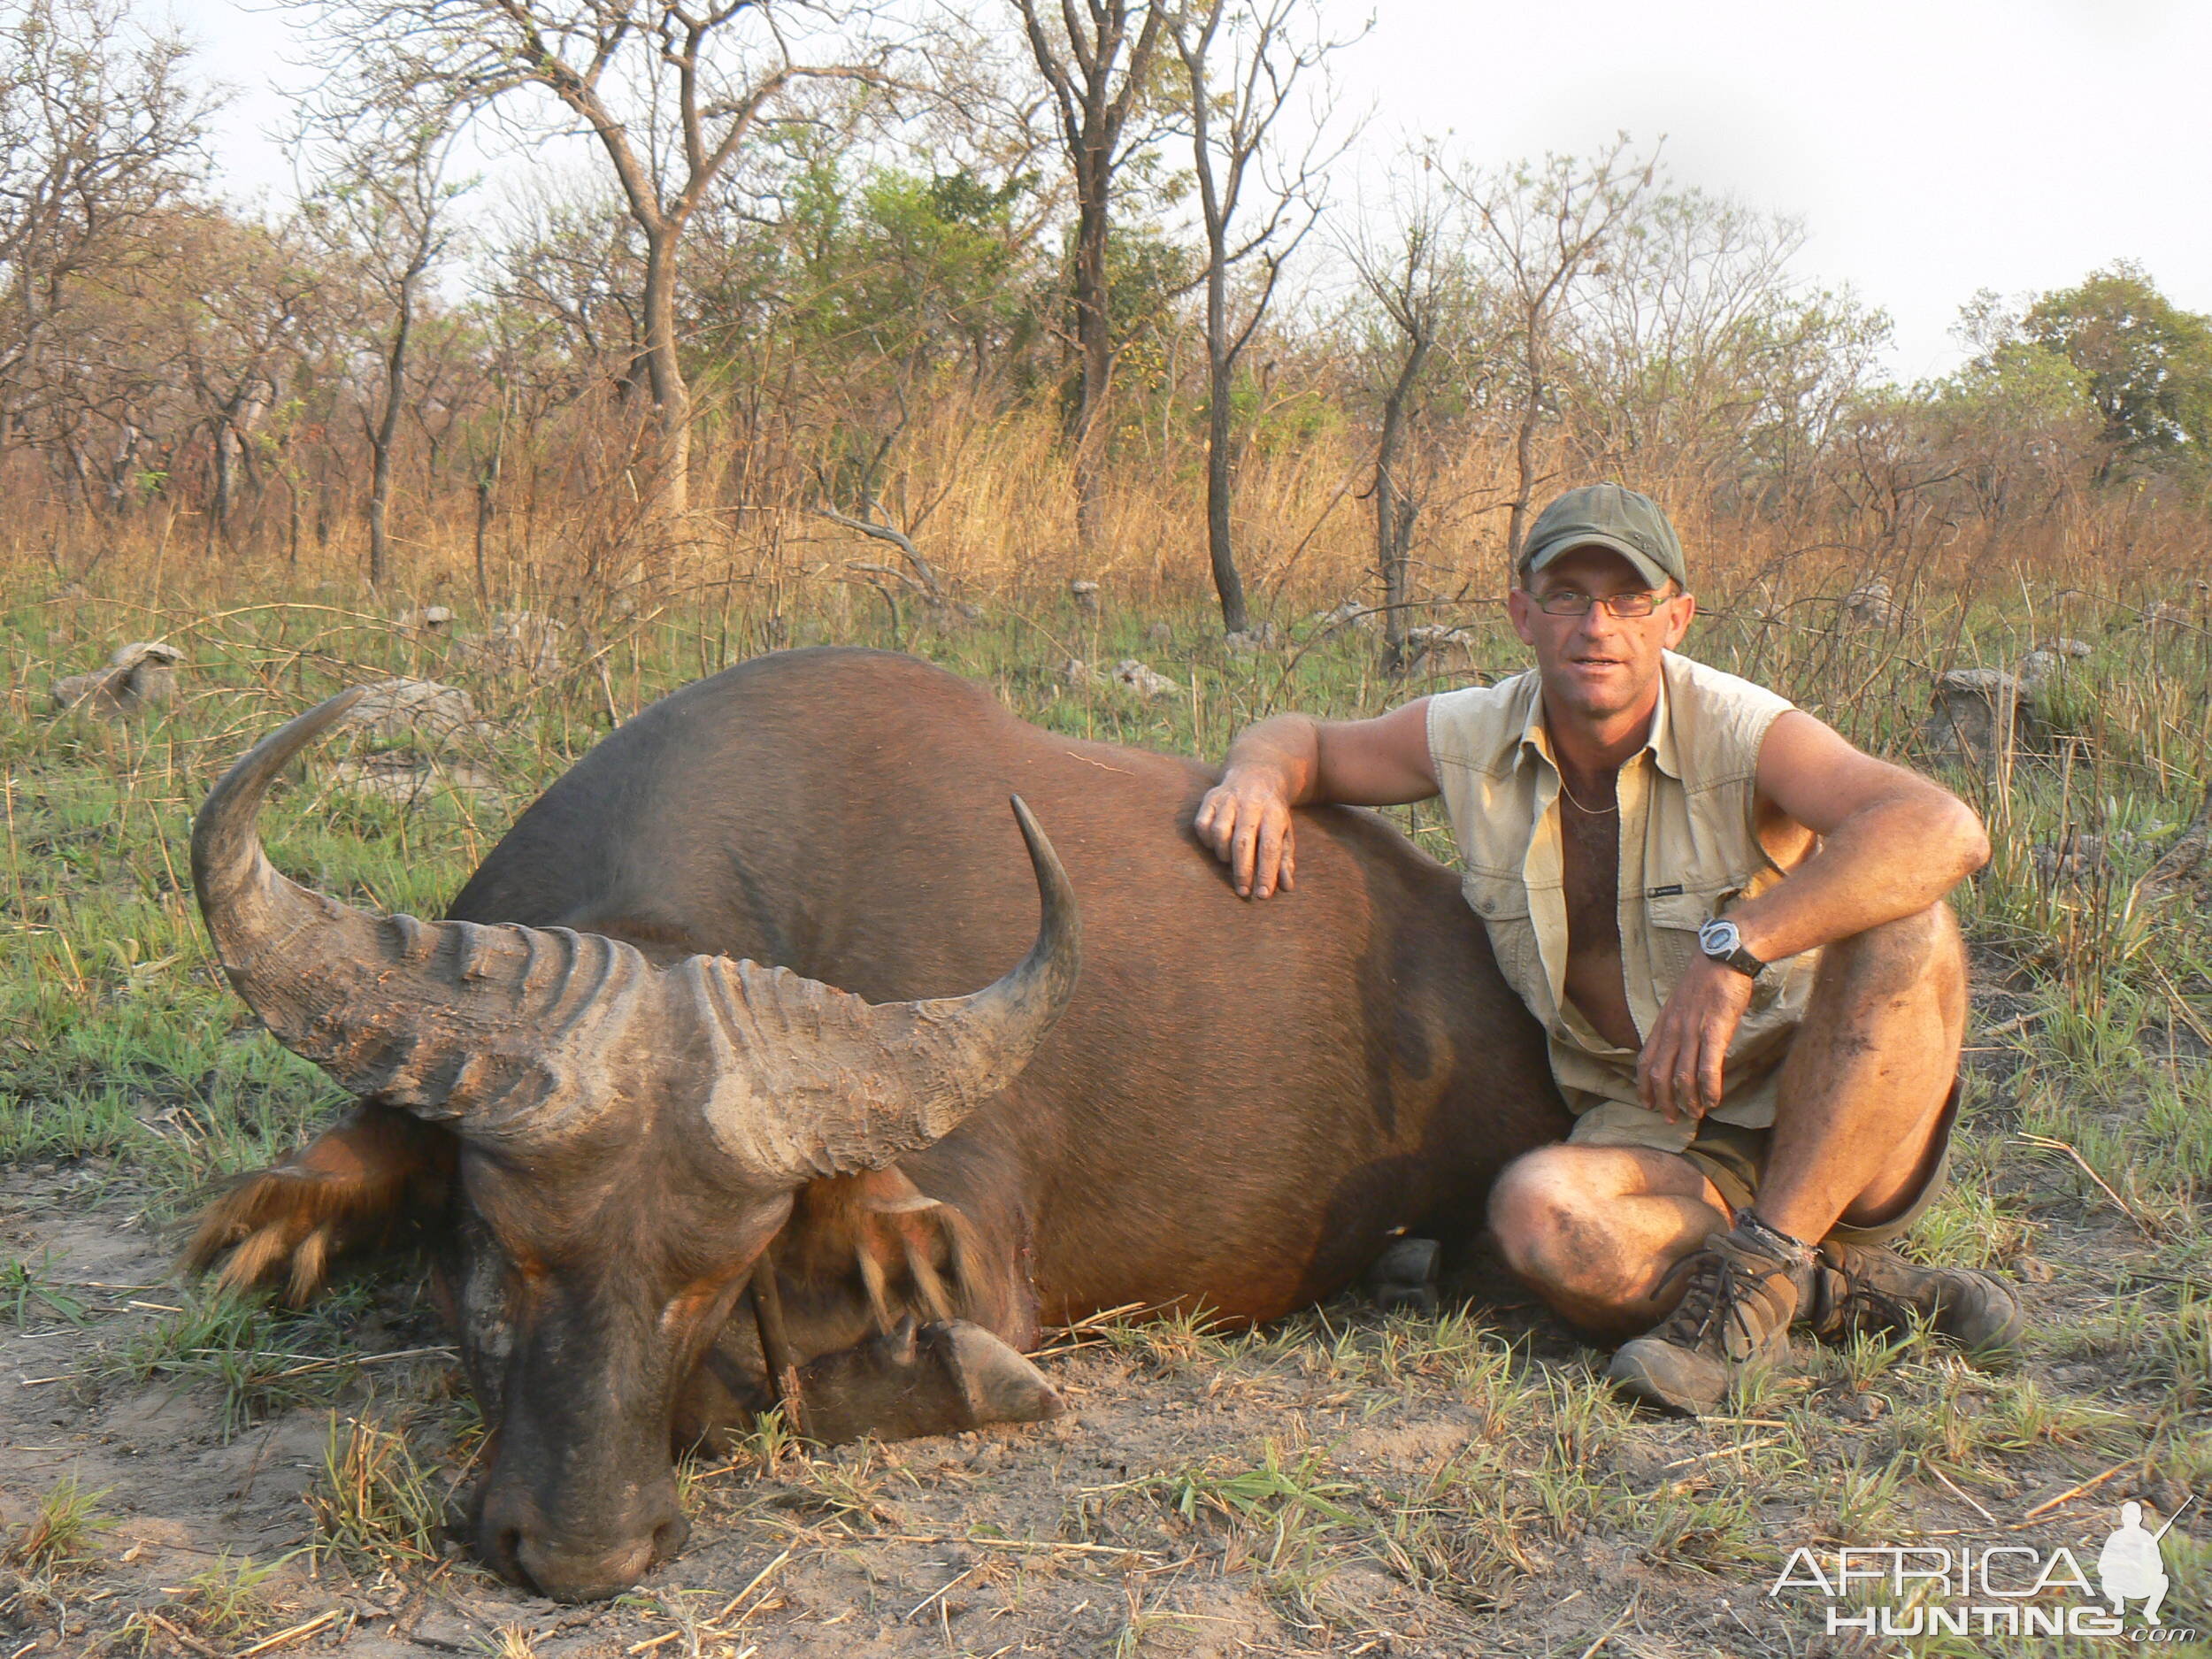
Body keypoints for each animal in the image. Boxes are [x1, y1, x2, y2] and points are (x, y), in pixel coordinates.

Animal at [190, 646, 1575, 1601]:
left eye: (718, 1272)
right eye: (500, 1243)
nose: (588, 1551)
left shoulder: (978, 1263)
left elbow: (758, 1384)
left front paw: (966, 1378)